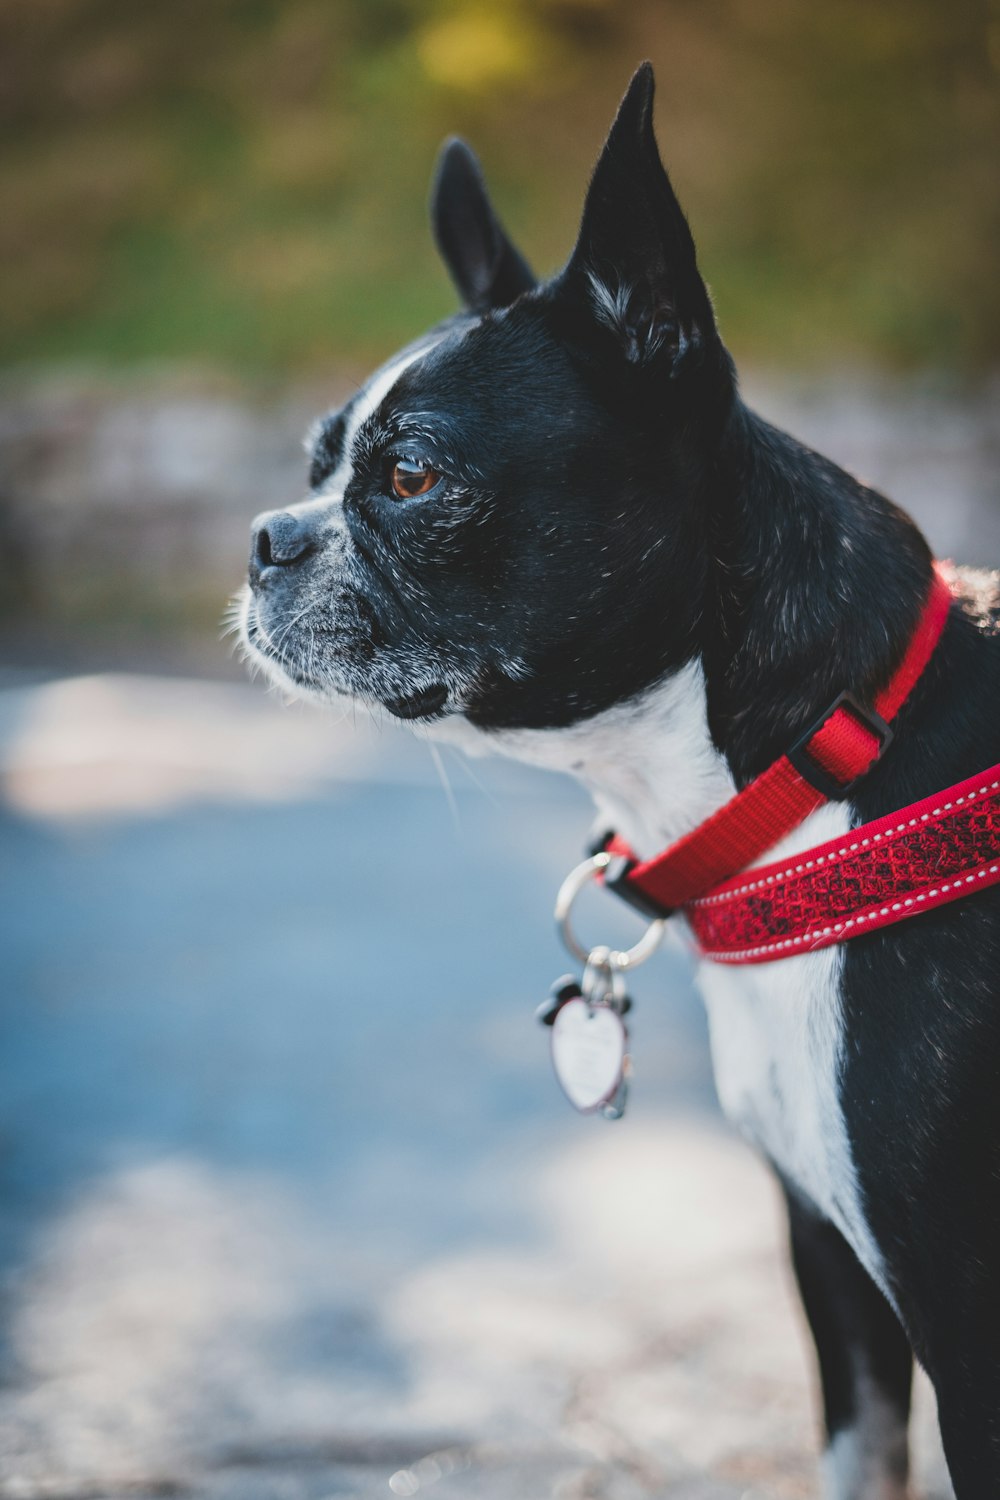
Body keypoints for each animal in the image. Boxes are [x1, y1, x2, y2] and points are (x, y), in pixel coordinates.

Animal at [242, 61, 1000, 1500]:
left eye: (409, 475)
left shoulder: (966, 1326)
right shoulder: (839, 1280)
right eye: (314, 468)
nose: (264, 536)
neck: (814, 769)